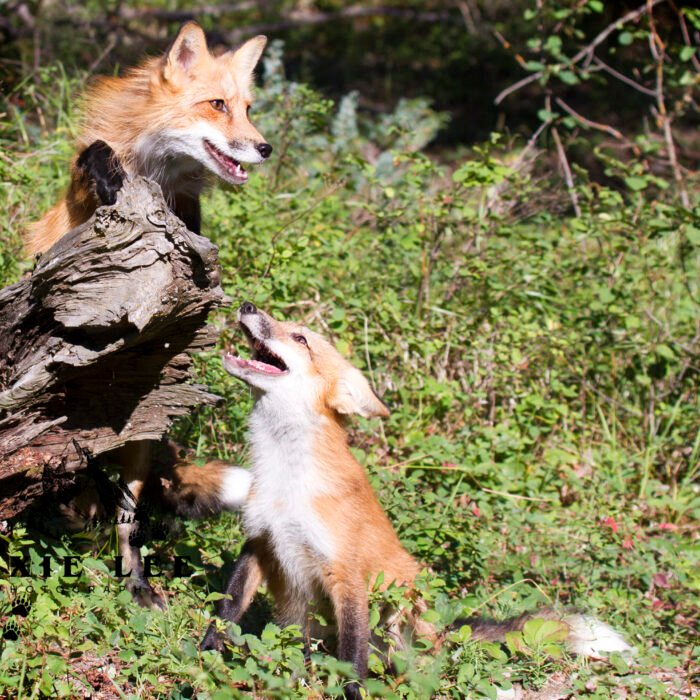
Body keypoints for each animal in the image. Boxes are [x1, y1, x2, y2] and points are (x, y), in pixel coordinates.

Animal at [25, 20, 272, 257]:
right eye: (217, 104)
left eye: (247, 110)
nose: (266, 149)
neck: (153, 168)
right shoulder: (78, 199)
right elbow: (95, 149)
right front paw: (110, 181)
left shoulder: (187, 205)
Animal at [196, 302, 633, 698]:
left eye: (301, 338)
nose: (247, 305)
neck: (287, 480)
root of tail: (441, 633)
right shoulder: (260, 541)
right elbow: (226, 611)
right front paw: (206, 655)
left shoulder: (345, 573)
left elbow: (351, 656)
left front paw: (354, 694)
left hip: (399, 612)